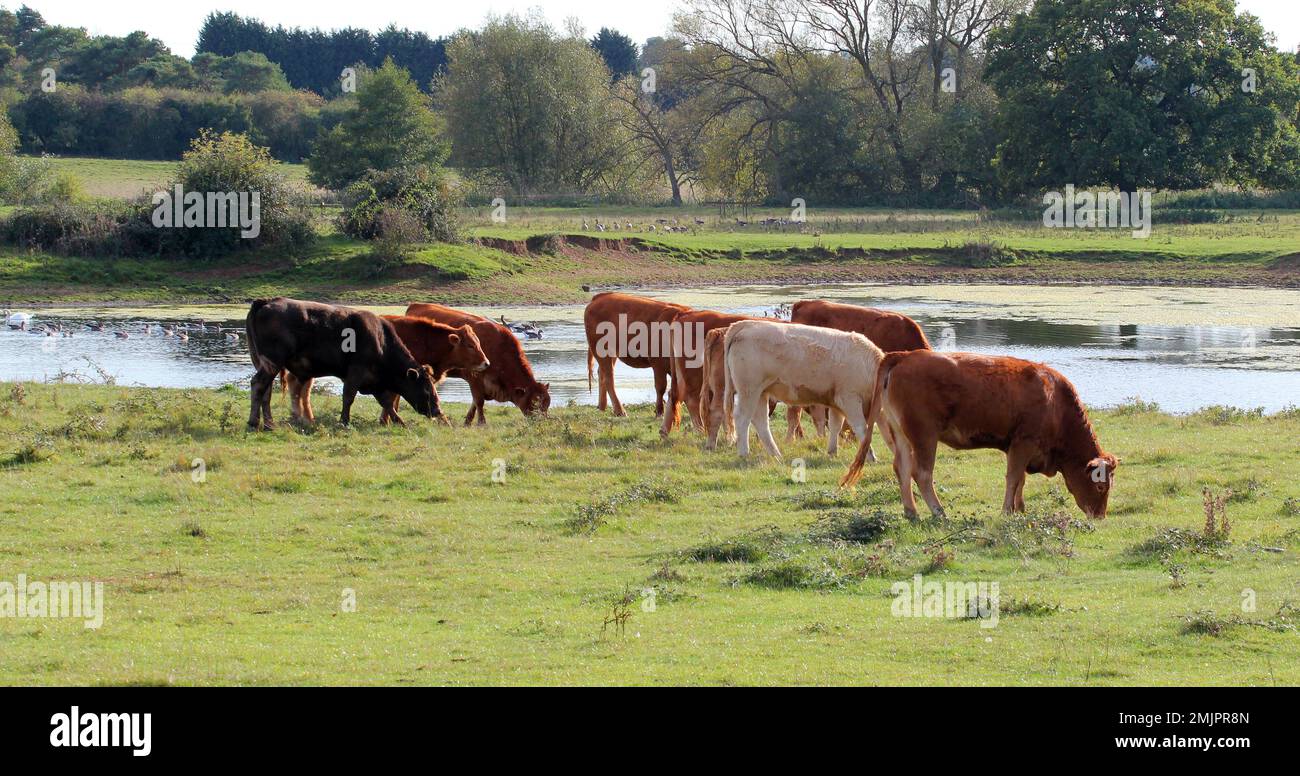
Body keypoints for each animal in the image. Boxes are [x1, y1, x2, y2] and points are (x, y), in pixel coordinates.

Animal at [245, 298, 444, 430]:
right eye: (427, 389)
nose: (437, 410)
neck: (381, 341)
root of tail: (267, 302)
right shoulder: (356, 372)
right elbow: (348, 397)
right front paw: (344, 421)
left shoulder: (375, 381)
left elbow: (386, 403)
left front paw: (400, 422)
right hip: (272, 361)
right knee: (258, 384)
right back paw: (255, 422)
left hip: (265, 363)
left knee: (266, 390)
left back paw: (268, 424)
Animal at [283, 315, 489, 425]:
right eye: (470, 345)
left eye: (479, 342)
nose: (486, 363)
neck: (425, 340)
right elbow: (393, 399)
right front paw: (385, 420)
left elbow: (391, 400)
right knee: (302, 390)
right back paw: (306, 417)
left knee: (298, 387)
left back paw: (301, 417)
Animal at [405, 302, 551, 424]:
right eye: (535, 403)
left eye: (548, 403)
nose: (542, 422)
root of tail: (415, 305)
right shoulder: (474, 379)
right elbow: (479, 402)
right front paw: (481, 423)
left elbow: (474, 404)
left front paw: (467, 423)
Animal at [722, 320, 885, 462]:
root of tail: (747, 324)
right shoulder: (849, 399)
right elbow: (862, 428)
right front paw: (871, 456)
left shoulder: (836, 403)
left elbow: (835, 426)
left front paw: (832, 452)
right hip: (749, 390)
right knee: (742, 418)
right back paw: (744, 453)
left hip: (761, 392)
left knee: (761, 421)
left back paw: (776, 454)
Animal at [842, 350, 1119, 519]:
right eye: (1100, 484)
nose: (1099, 516)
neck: (1055, 402)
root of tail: (905, 355)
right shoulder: (1024, 442)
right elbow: (1013, 478)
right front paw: (1007, 512)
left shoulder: (1017, 447)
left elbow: (1020, 480)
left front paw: (1020, 509)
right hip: (924, 435)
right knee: (921, 473)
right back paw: (939, 512)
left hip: (901, 434)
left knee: (901, 468)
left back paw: (912, 512)